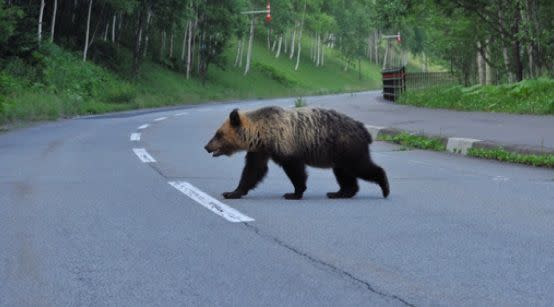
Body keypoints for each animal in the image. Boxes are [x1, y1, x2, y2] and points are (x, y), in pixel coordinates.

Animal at [204, 107, 388, 201]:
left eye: (218, 134)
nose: (206, 146)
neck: (262, 133)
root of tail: (363, 129)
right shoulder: (261, 150)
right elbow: (253, 171)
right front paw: (232, 192)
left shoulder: (286, 145)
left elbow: (295, 170)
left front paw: (294, 193)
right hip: (339, 154)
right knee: (344, 173)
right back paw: (339, 193)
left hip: (346, 147)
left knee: (361, 167)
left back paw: (384, 187)